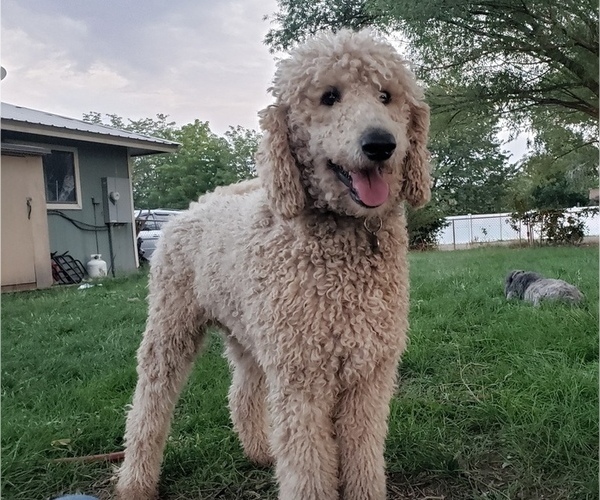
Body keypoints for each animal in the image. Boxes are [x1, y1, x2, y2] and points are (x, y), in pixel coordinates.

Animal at [115, 28, 428, 500]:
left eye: (386, 96)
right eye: (329, 96)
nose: (380, 144)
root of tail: (196, 204)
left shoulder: (369, 374)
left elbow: (363, 454)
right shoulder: (303, 378)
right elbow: (309, 469)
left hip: (248, 333)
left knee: (241, 392)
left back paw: (261, 451)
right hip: (172, 325)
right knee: (150, 401)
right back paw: (135, 480)